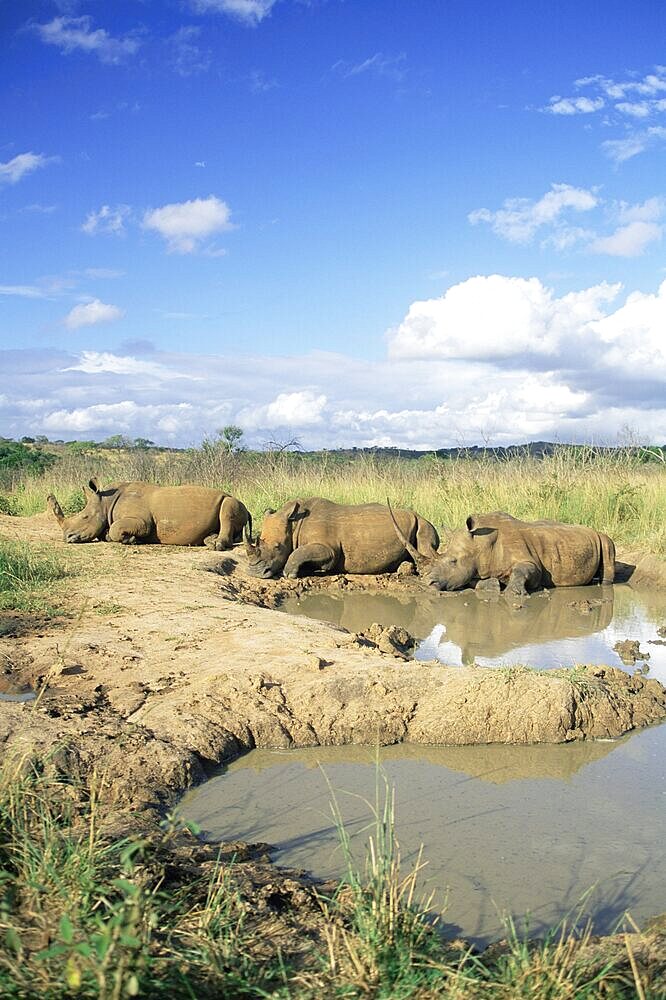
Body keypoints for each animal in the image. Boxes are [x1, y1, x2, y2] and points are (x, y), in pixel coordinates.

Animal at [48, 480, 252, 552]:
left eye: (84, 517)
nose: (67, 537)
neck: (106, 502)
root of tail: (248, 510)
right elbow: (108, 532)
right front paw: (131, 539)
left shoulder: (143, 522)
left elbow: (115, 529)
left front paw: (130, 540)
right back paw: (209, 540)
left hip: (232, 500)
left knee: (227, 508)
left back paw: (216, 545)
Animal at [241, 498, 438, 580]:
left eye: (278, 547)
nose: (254, 573)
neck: (294, 523)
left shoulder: (329, 549)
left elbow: (300, 553)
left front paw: (289, 574)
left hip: (422, 522)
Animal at [390, 508, 612, 592]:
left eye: (453, 561)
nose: (427, 583)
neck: (482, 545)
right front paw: (493, 585)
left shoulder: (531, 562)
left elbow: (525, 570)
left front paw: (514, 593)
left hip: (603, 538)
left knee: (608, 545)